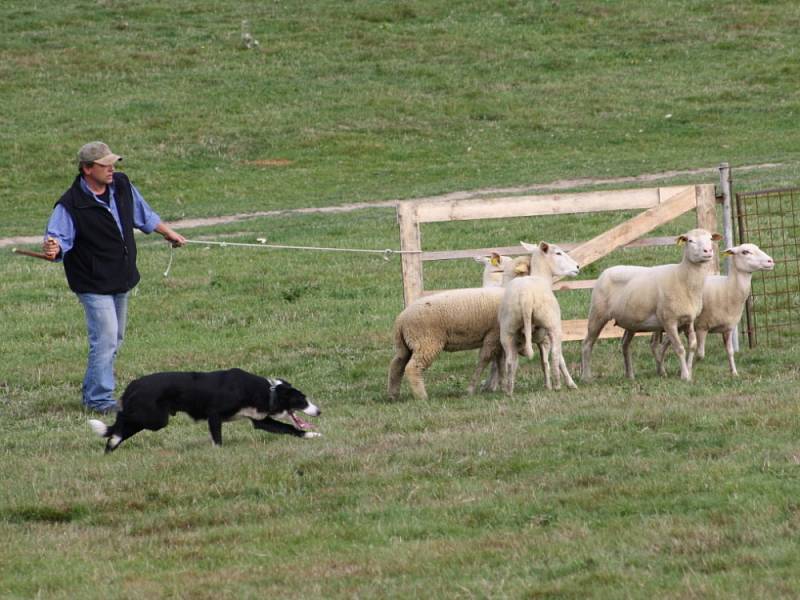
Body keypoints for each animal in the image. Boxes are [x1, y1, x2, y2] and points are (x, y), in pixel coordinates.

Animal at [88, 368, 322, 452]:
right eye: (302, 401)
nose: (319, 411)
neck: (268, 391)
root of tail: (134, 384)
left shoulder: (259, 419)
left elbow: (288, 428)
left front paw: (311, 435)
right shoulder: (214, 414)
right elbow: (217, 439)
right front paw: (218, 454)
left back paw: (111, 447)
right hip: (155, 418)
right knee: (122, 419)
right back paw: (113, 440)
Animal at [496, 240, 580, 394]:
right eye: (558, 253)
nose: (577, 267)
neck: (541, 276)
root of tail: (525, 297)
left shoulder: (541, 339)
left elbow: (543, 362)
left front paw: (547, 385)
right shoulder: (547, 334)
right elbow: (559, 358)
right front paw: (569, 383)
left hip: (507, 329)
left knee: (510, 360)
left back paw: (509, 391)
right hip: (553, 324)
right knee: (555, 354)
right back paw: (558, 385)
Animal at [580, 227, 720, 382]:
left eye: (710, 239)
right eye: (690, 240)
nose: (708, 251)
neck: (682, 277)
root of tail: (606, 271)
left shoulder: (688, 321)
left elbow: (693, 346)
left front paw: (689, 373)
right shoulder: (669, 321)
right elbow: (679, 348)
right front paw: (684, 375)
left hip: (631, 322)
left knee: (625, 345)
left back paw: (630, 375)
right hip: (597, 314)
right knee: (587, 344)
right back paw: (586, 377)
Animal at [648, 243, 776, 376]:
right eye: (745, 252)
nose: (770, 261)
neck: (728, 288)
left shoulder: (728, 329)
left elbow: (730, 351)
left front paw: (734, 373)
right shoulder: (702, 327)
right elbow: (700, 354)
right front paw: (688, 369)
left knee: (663, 344)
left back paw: (662, 369)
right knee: (655, 345)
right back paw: (662, 370)